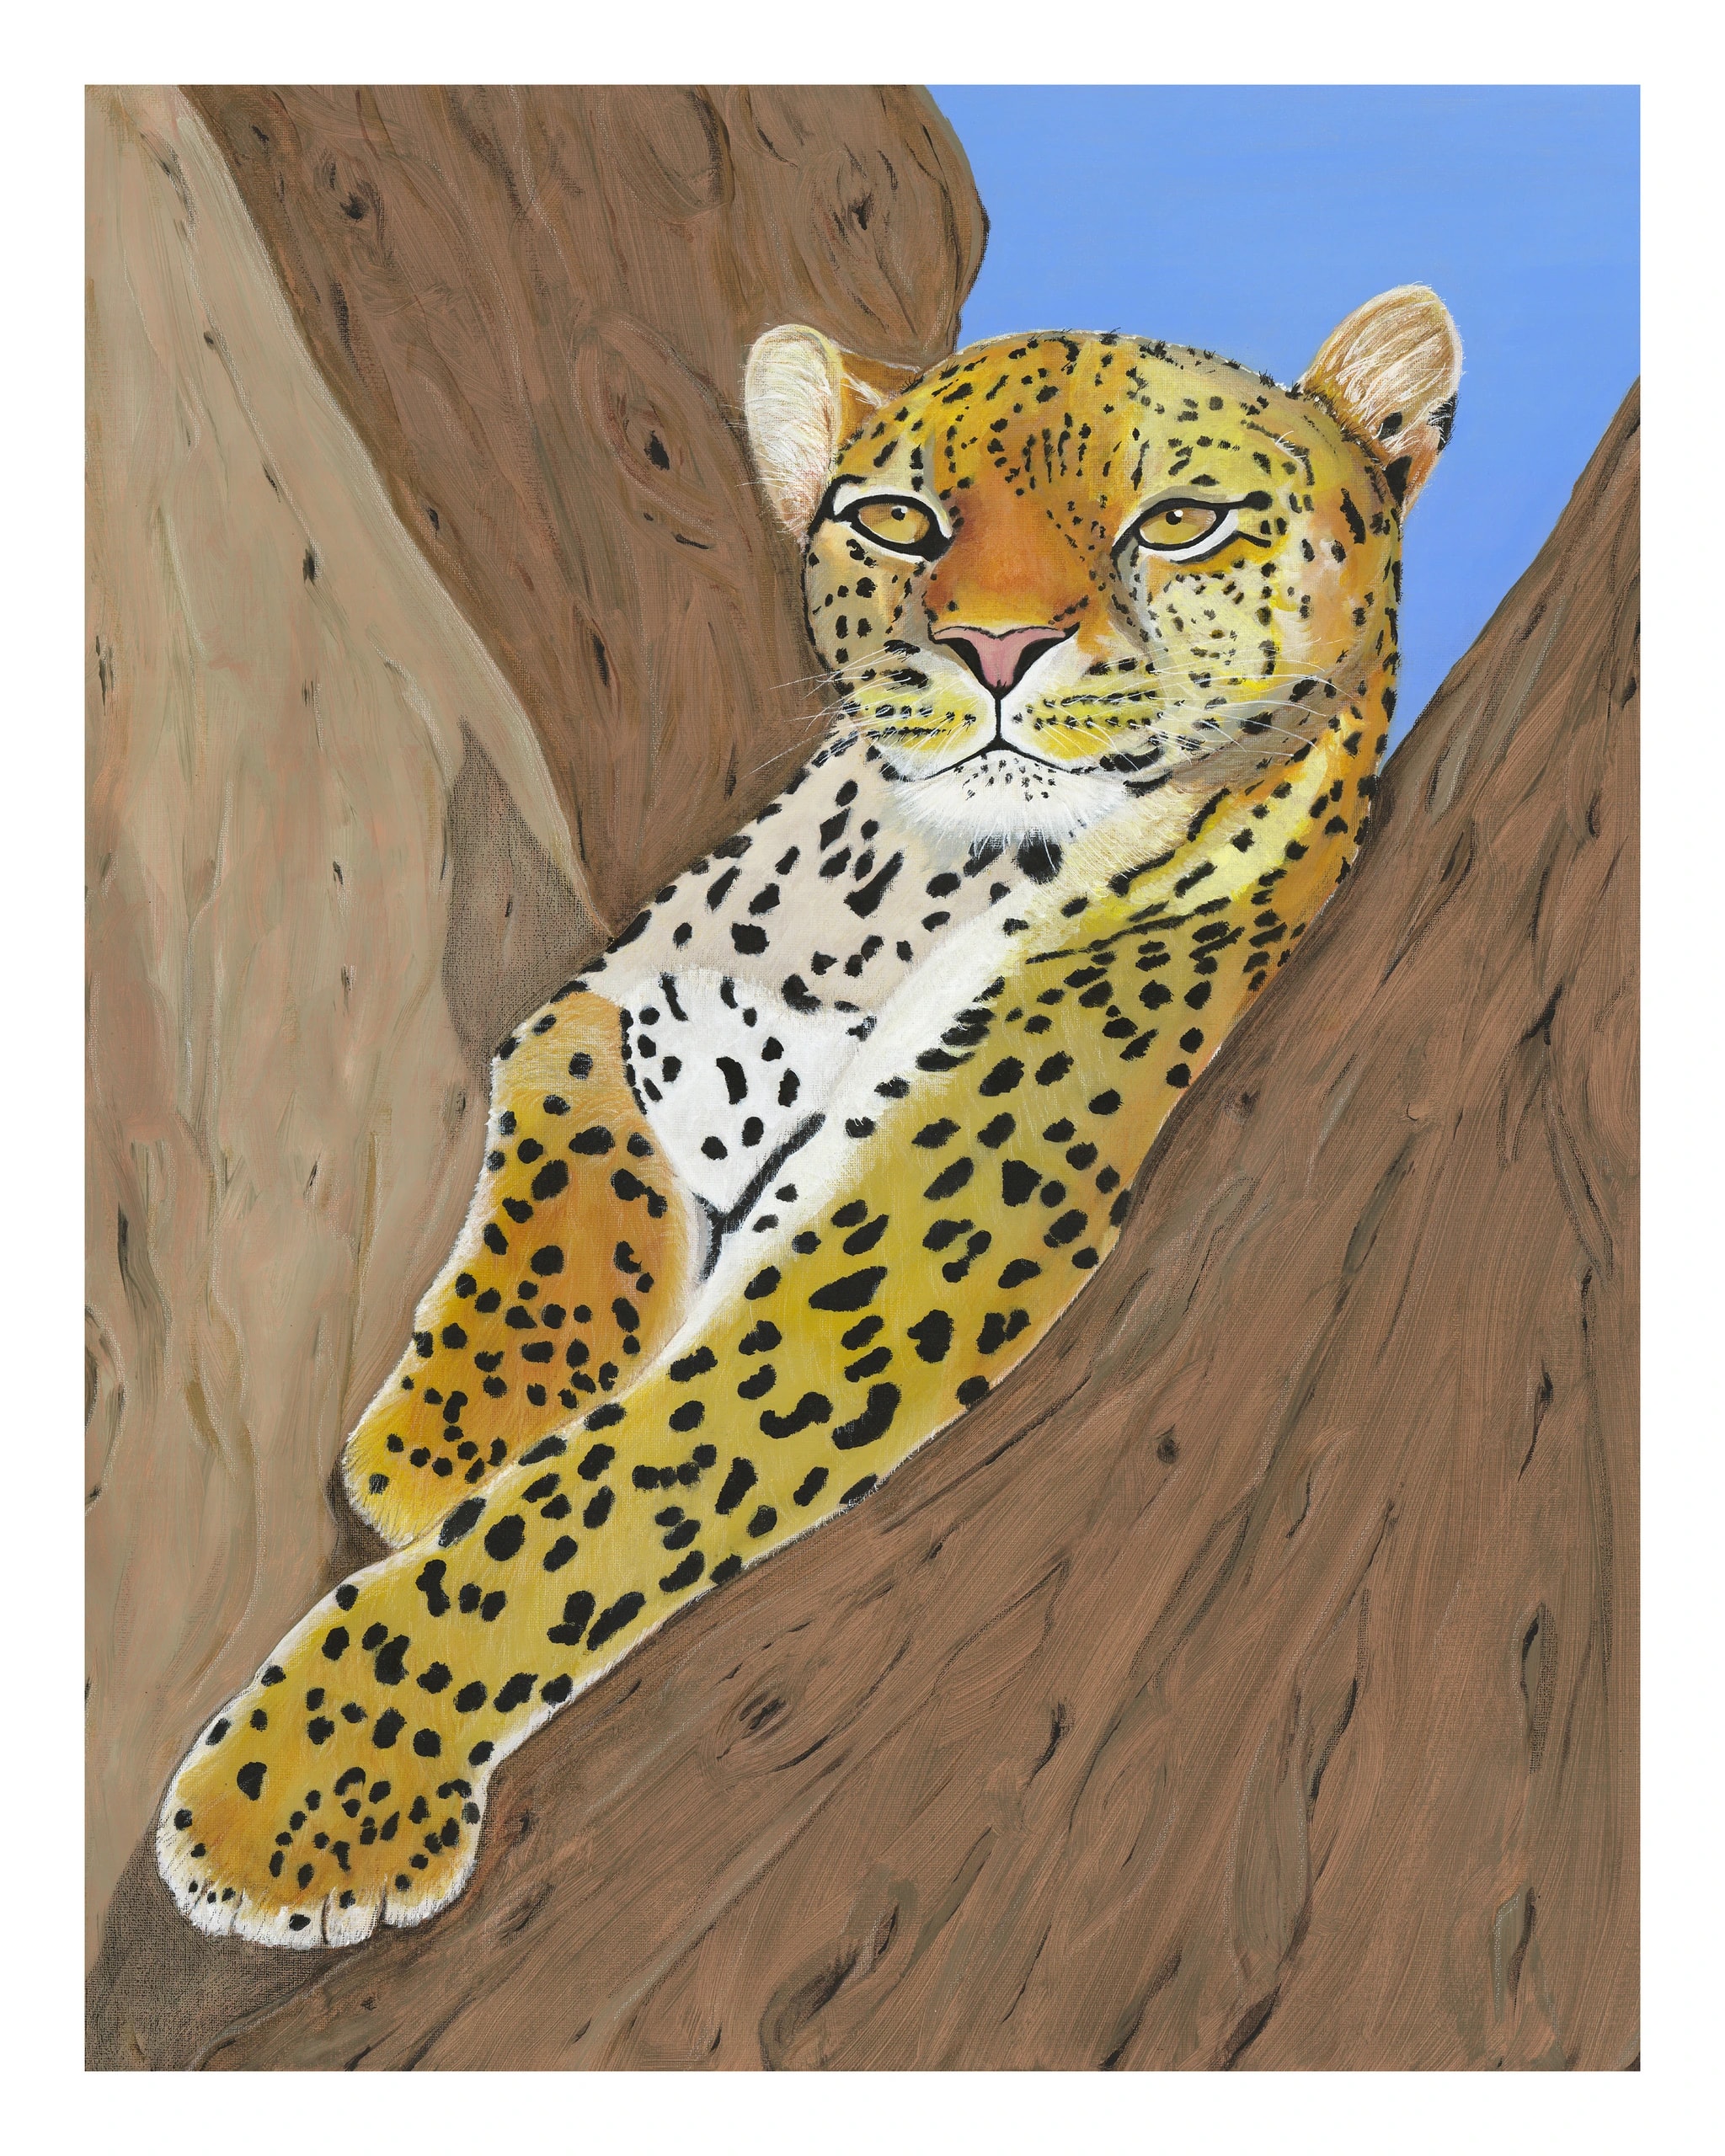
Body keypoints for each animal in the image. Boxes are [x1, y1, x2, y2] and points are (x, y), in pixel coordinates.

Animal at [157, 284, 1460, 1946]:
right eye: (899, 521)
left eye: (1178, 521)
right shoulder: (621, 993)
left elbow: (593, 1504)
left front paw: (308, 1792)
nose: (991, 646)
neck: (906, 886)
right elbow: (569, 1142)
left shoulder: (903, 1252)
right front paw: (453, 1431)